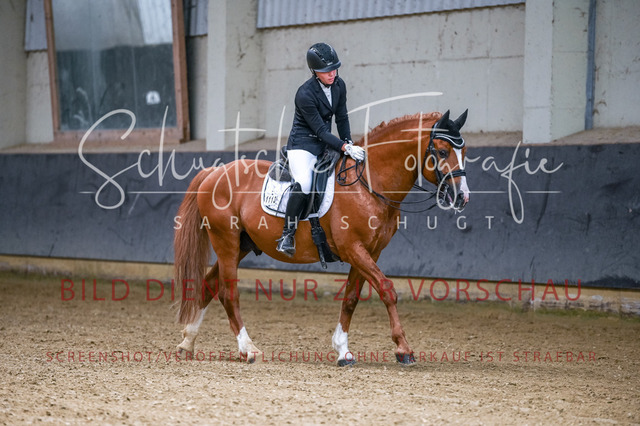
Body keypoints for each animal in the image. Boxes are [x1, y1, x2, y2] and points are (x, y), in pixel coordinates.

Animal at [173, 109, 470, 365]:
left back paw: (187, 342)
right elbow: (387, 289)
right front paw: (403, 349)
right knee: (228, 292)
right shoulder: (353, 249)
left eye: (464, 151)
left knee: (209, 285)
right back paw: (248, 349)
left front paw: (343, 350)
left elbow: (351, 298)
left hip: (242, 245)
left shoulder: (369, 252)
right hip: (226, 242)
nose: (462, 197)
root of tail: (214, 172)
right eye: (442, 151)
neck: (368, 184)